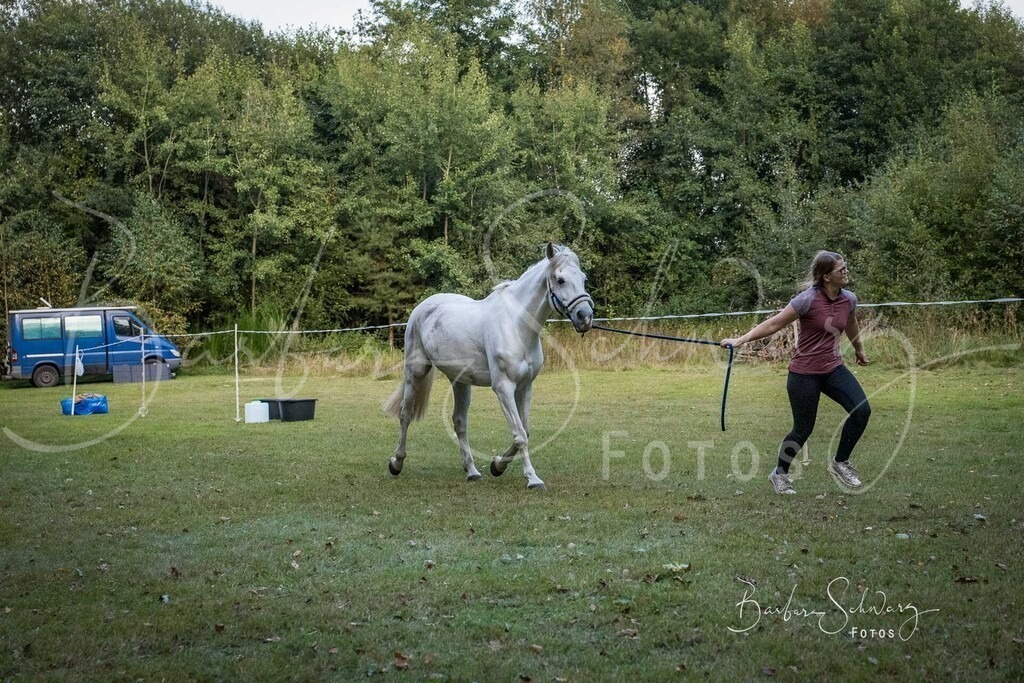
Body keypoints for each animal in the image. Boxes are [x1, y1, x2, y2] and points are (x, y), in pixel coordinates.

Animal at [382, 242, 594, 490]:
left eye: (583, 278)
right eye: (560, 280)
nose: (585, 316)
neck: (516, 326)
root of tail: (423, 307)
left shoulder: (525, 387)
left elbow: (525, 431)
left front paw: (497, 465)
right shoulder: (503, 388)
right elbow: (520, 434)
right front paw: (532, 479)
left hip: (460, 382)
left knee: (459, 422)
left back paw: (472, 471)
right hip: (415, 372)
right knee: (405, 414)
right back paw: (396, 463)